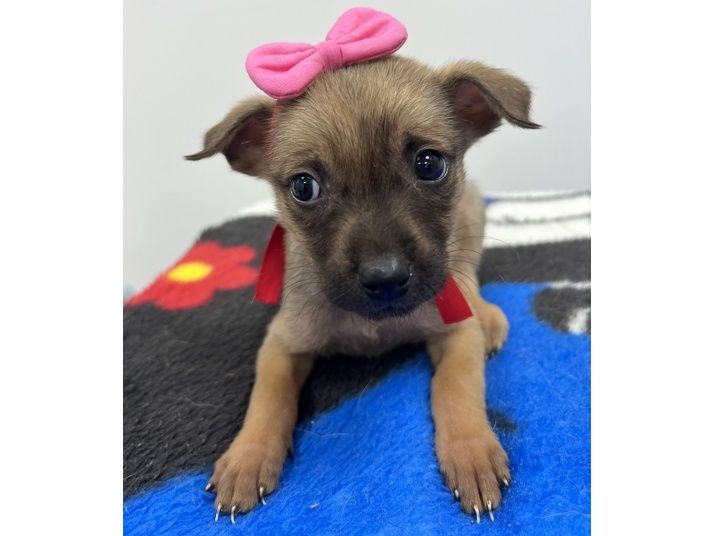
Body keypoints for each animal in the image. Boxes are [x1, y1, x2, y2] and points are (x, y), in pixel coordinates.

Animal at [187, 8, 539, 523]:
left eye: (429, 164)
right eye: (304, 187)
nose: (386, 278)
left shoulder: (455, 332)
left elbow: (456, 387)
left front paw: (471, 452)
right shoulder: (282, 343)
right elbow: (267, 399)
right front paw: (248, 457)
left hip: (470, 219)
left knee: (467, 275)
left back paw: (487, 314)